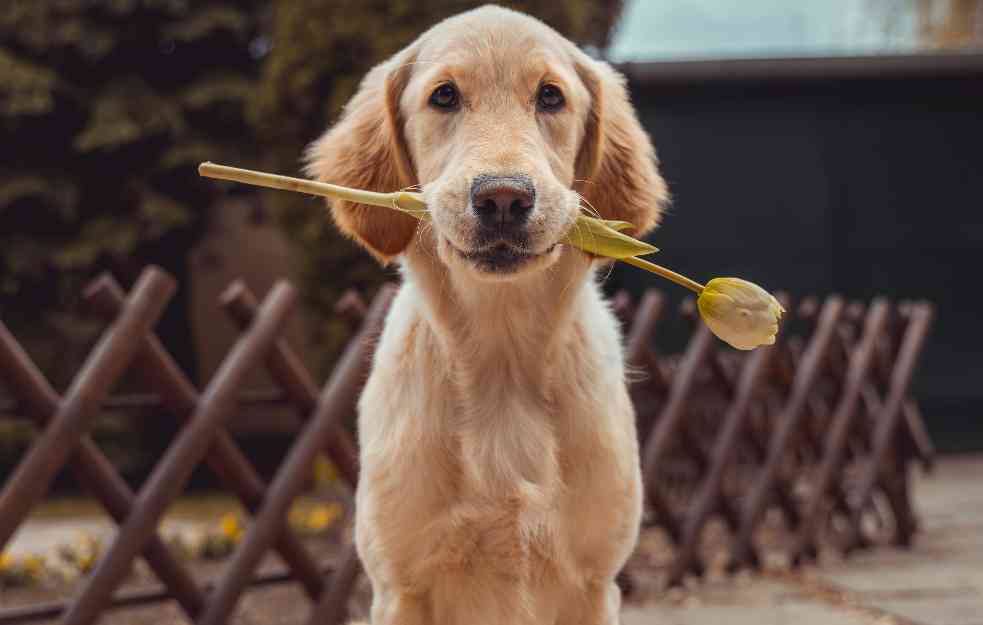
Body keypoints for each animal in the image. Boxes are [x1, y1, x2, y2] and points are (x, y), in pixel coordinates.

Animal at [306, 4, 668, 624]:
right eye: (445, 96)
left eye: (550, 96)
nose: (503, 198)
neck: (503, 357)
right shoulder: (400, 586)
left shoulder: (595, 583)